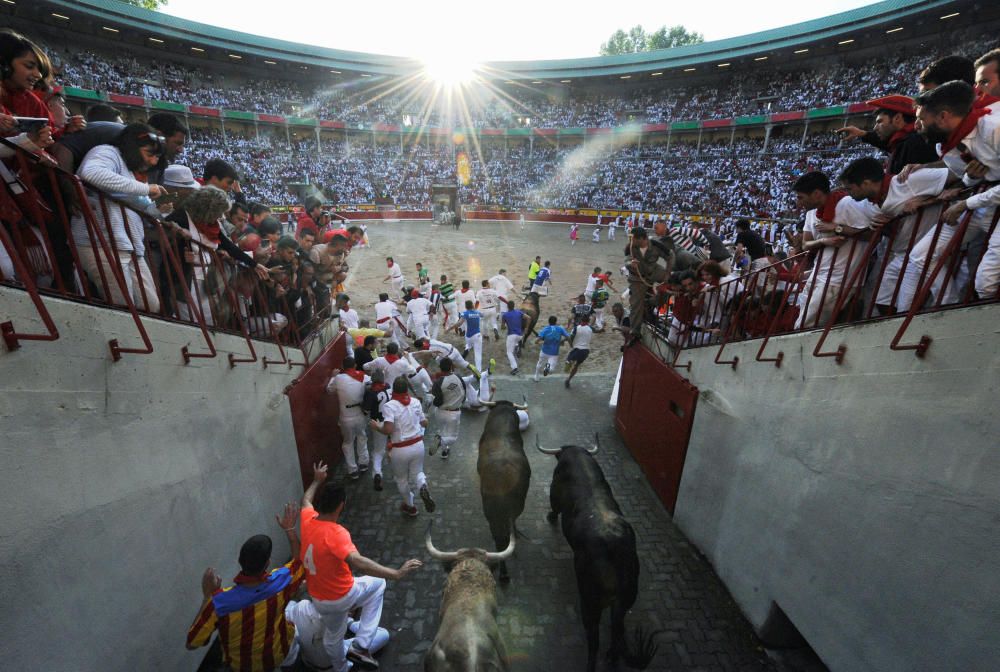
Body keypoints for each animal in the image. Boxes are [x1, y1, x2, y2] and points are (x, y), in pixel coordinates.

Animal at [536, 436, 660, 672]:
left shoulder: (554, 492)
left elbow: (554, 506)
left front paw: (550, 516)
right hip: (625, 601)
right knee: (616, 629)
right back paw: (612, 656)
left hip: (590, 602)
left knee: (594, 640)